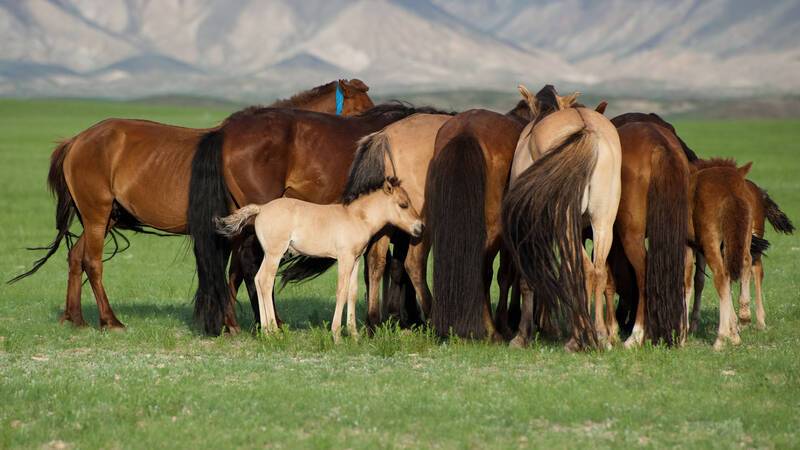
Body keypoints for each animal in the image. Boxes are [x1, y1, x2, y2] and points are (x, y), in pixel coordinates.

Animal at [216, 177, 423, 341]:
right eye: (403, 204)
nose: (419, 227)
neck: (356, 217)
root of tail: (261, 208)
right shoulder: (345, 258)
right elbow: (341, 291)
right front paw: (337, 334)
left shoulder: (355, 260)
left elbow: (352, 293)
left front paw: (355, 335)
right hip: (274, 254)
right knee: (265, 281)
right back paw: (272, 331)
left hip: (270, 255)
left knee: (258, 280)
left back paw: (267, 331)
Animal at [503, 85, 622, 351]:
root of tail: (586, 129)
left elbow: (529, 279)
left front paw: (522, 335)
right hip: (602, 223)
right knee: (596, 271)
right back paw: (599, 334)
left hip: (565, 222)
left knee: (580, 270)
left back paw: (579, 338)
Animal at [602, 122, 692, 348]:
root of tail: (660, 145)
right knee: (686, 267)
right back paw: (681, 333)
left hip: (631, 236)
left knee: (644, 273)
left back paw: (636, 335)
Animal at [686, 159, 754, 350]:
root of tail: (730, 188)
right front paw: (734, 329)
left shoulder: (688, 245)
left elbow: (687, 281)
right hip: (743, 235)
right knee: (745, 262)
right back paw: (743, 317)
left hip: (711, 240)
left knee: (720, 276)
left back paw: (720, 338)